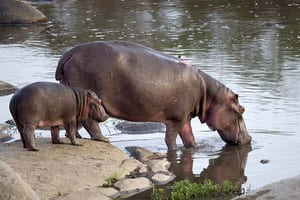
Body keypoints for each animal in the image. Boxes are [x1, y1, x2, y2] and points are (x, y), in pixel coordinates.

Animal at [55, 40, 251, 150]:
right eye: (241, 110)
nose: (249, 139)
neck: (210, 96)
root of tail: (68, 55)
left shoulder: (185, 118)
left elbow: (190, 139)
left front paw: (194, 148)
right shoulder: (176, 119)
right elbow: (170, 140)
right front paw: (174, 150)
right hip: (89, 97)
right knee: (90, 122)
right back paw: (103, 139)